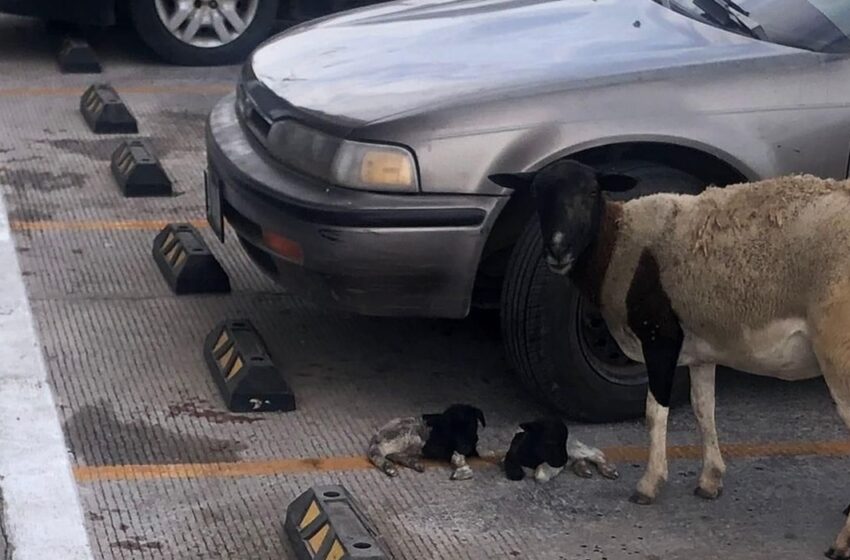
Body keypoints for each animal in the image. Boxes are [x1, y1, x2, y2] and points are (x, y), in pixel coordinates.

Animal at [490, 160, 850, 556]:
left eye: (591, 192)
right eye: (537, 193)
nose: (557, 250)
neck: (620, 243)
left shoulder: (660, 337)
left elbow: (655, 413)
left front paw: (649, 485)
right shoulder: (701, 347)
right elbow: (703, 409)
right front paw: (710, 481)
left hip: (839, 348)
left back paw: (841, 542)